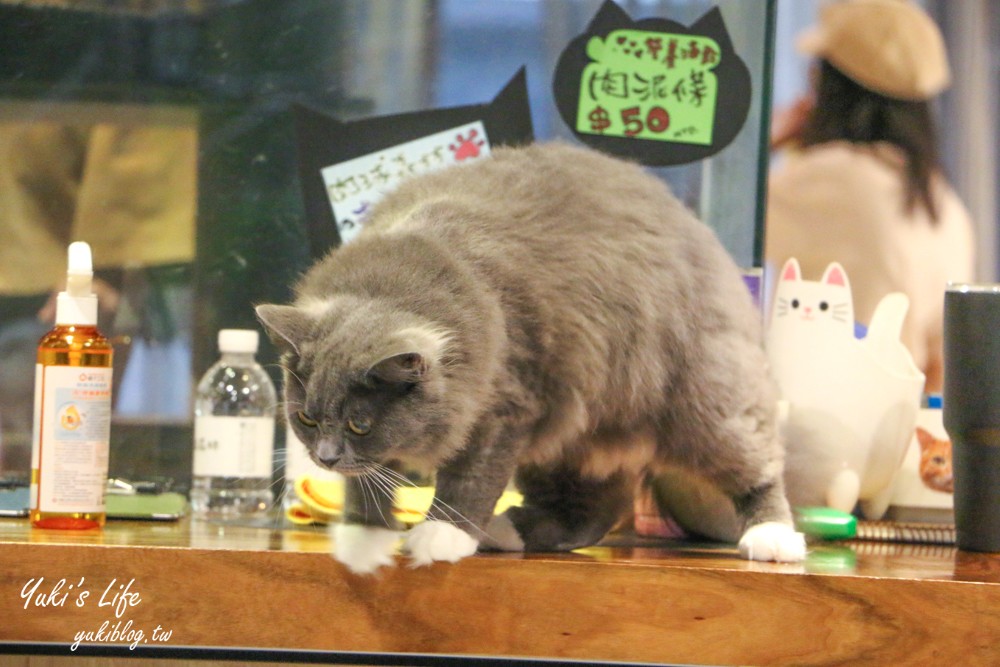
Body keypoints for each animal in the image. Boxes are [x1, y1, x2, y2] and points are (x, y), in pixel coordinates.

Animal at [256, 142, 804, 576]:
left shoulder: (505, 408)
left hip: (703, 404)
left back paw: (775, 539)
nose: (325, 457)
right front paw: (365, 539)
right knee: (591, 511)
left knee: (757, 468)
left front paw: (441, 535)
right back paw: (507, 531)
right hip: (573, 438)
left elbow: (470, 480)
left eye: (359, 424)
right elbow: (366, 485)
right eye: (307, 419)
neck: (397, 282)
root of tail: (698, 229)